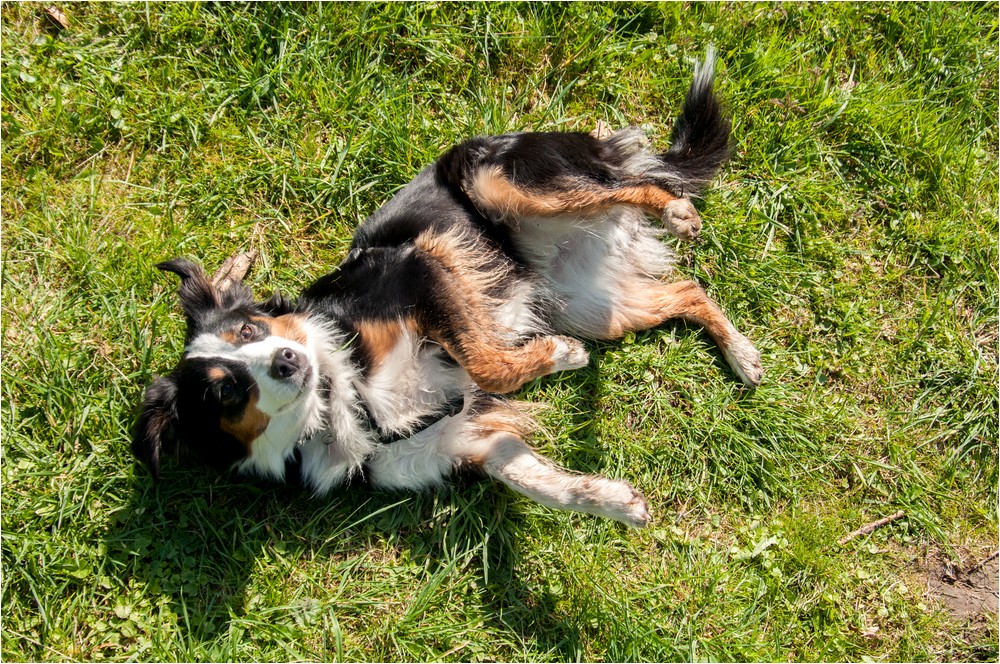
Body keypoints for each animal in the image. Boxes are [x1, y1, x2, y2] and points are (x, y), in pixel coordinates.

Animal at [131, 52, 756, 528]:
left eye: (250, 328)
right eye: (224, 394)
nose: (287, 360)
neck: (340, 400)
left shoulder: (425, 269)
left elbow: (487, 364)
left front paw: (556, 357)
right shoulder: (458, 443)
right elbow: (539, 482)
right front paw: (614, 502)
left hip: (502, 179)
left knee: (636, 186)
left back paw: (676, 213)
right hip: (590, 305)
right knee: (687, 288)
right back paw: (744, 356)